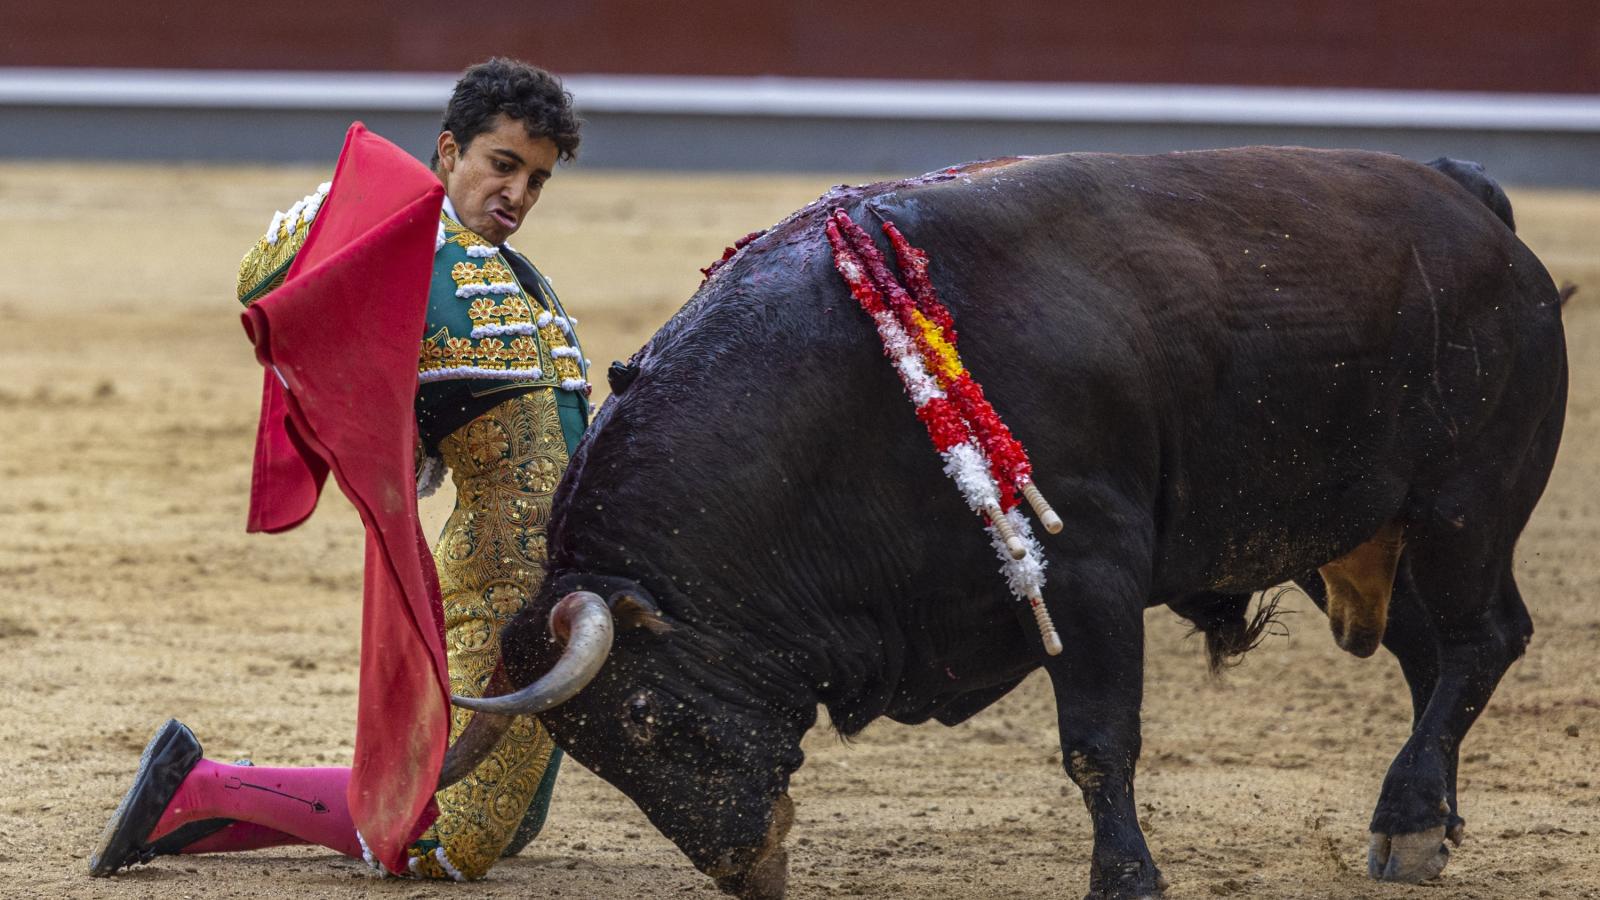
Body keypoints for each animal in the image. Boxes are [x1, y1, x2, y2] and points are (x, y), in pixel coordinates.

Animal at [435, 147, 1561, 896]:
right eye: (597, 756)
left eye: (646, 717)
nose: (747, 868)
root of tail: (1470, 200)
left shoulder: (1089, 567)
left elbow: (1098, 741)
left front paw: (1127, 879)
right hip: (1368, 536)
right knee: (1434, 659)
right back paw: (1427, 824)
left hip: (1463, 508)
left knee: (1483, 639)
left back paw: (1408, 824)